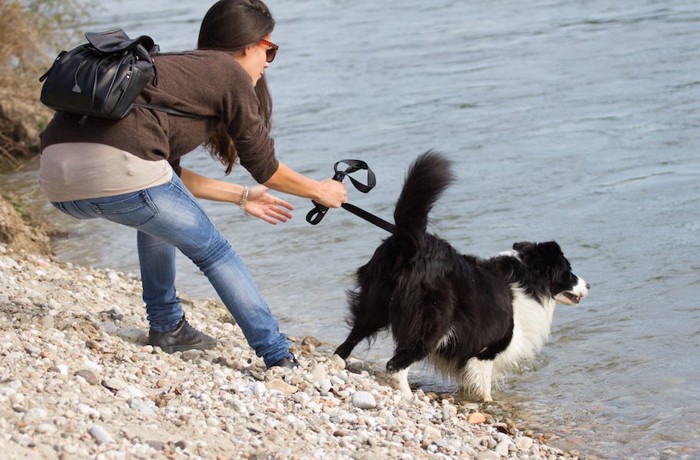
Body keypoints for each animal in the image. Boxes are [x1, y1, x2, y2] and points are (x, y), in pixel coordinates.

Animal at [336, 153, 588, 400]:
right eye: (568, 270)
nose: (589, 286)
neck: (526, 279)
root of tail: (408, 243)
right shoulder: (487, 348)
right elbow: (483, 385)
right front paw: (486, 402)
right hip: (431, 322)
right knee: (395, 365)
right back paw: (408, 395)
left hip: (373, 304)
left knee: (347, 343)